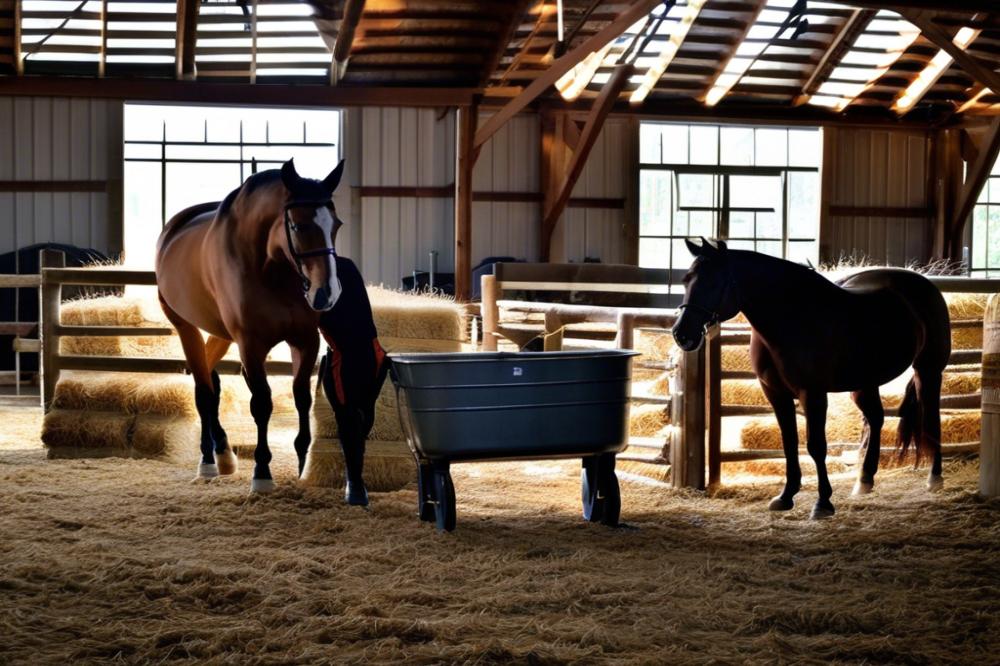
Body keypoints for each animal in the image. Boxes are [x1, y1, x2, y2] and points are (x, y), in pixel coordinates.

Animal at [155, 158, 344, 490]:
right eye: (298, 225)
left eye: (336, 225)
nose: (326, 293)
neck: (270, 268)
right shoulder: (251, 345)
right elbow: (262, 403)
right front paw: (262, 471)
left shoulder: (305, 340)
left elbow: (301, 397)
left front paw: (301, 465)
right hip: (186, 327)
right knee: (203, 391)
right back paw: (208, 460)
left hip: (220, 334)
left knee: (210, 381)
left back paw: (223, 452)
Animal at [676, 239, 948, 520]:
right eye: (686, 280)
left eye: (714, 282)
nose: (681, 334)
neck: (794, 318)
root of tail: (923, 284)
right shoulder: (776, 394)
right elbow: (789, 442)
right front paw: (786, 496)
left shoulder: (813, 394)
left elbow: (816, 445)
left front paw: (823, 503)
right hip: (865, 382)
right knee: (876, 419)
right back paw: (864, 480)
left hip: (928, 370)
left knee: (931, 418)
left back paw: (934, 478)